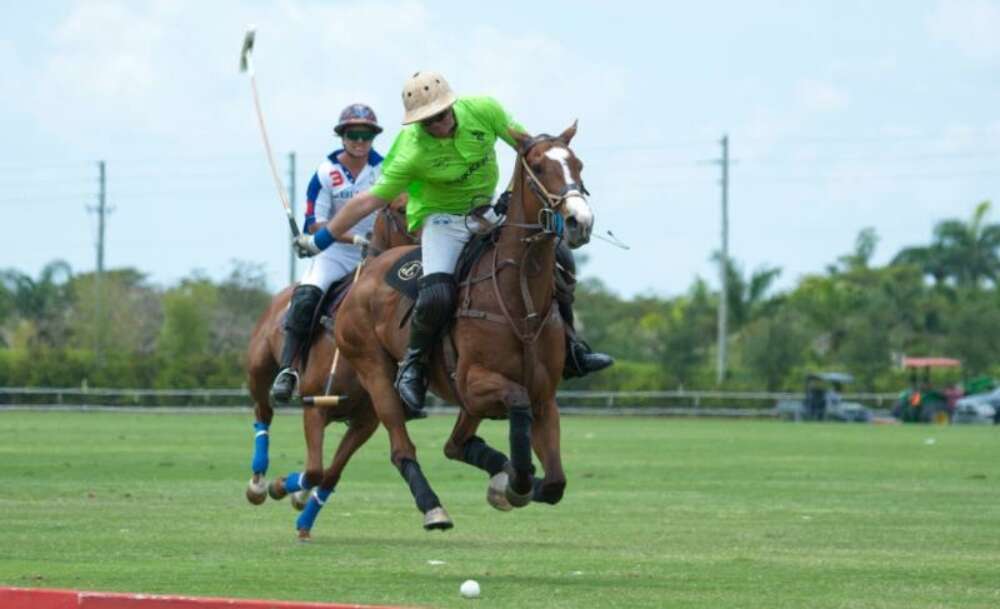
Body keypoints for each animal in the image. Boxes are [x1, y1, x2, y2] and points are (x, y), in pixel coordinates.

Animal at [244, 194, 416, 536]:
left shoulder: (366, 422)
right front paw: (281, 487)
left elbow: (329, 474)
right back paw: (257, 482)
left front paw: (302, 515)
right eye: (402, 208)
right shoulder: (315, 408)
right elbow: (314, 469)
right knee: (263, 413)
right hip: (259, 369)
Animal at [334, 124, 592, 528]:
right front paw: (514, 483)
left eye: (577, 164)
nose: (581, 221)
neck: (520, 298)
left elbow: (554, 484)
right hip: (374, 369)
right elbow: (517, 406)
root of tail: (367, 271)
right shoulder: (476, 384)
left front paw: (512, 484)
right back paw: (433, 506)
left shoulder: (544, 397)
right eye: (537, 166)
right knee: (401, 445)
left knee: (454, 445)